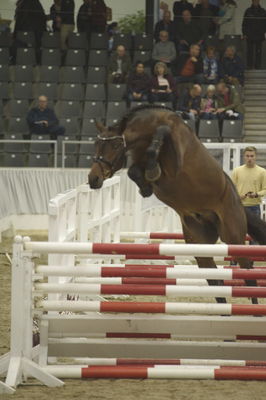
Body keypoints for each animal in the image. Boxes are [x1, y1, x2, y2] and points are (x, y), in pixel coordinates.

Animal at [89, 105, 266, 304]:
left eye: (115, 145)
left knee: (248, 273)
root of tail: (239, 205)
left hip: (233, 236)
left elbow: (161, 134)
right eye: (96, 144)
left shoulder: (174, 169)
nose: (93, 178)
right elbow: (133, 171)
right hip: (200, 243)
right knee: (216, 282)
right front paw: (146, 188)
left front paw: (151, 171)